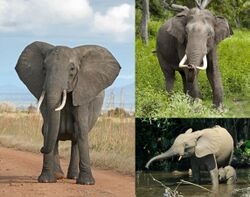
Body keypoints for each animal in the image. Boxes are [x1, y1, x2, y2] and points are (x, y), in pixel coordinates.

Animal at [15, 41, 120, 185]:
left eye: (72, 69)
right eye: (44, 68)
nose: (41, 149)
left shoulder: (82, 92)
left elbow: (81, 128)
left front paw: (87, 183)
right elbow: (48, 128)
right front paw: (46, 180)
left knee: (76, 138)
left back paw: (73, 177)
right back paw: (58, 175)